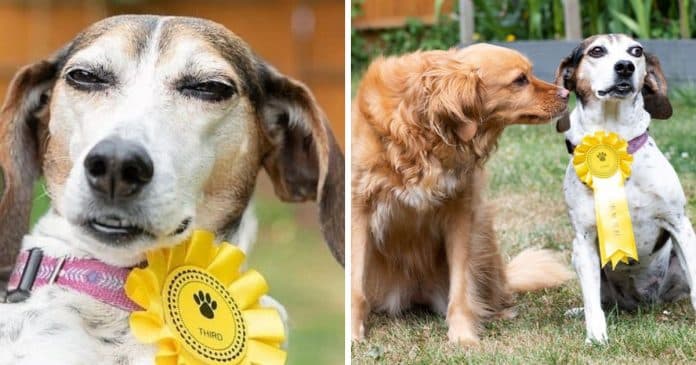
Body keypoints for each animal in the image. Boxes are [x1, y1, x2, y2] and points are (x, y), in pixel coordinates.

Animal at [350, 43, 572, 344]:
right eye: (520, 80)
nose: (567, 93)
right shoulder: (358, 207)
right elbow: (354, 286)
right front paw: (352, 335)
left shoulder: (461, 212)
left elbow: (462, 285)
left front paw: (463, 335)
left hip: (485, 234)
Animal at [556, 32, 696, 342]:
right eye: (597, 51)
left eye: (636, 51)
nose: (625, 67)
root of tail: (640, 302)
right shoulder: (584, 240)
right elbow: (592, 302)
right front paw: (596, 338)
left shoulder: (679, 225)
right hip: (577, 257)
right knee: (600, 301)